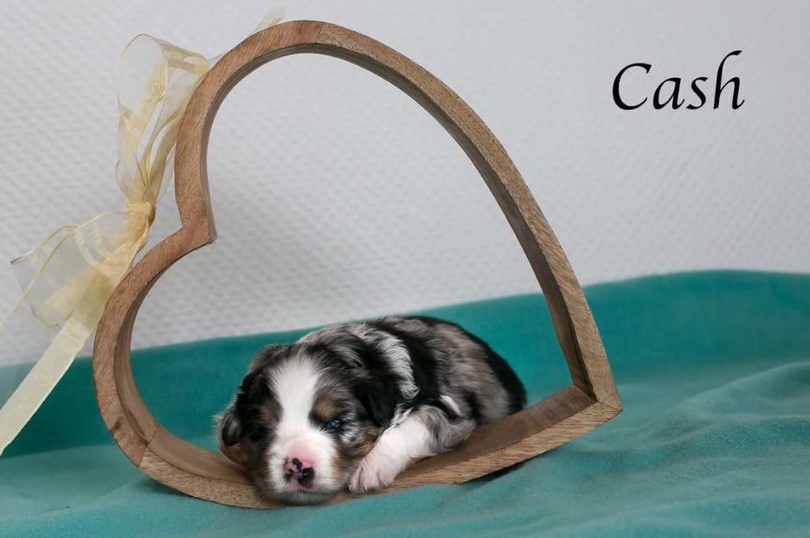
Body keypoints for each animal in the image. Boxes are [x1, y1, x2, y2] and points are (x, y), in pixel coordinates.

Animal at [217, 316, 526, 504]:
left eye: (336, 423)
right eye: (261, 431)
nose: (296, 466)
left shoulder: (446, 409)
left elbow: (412, 424)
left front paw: (369, 468)